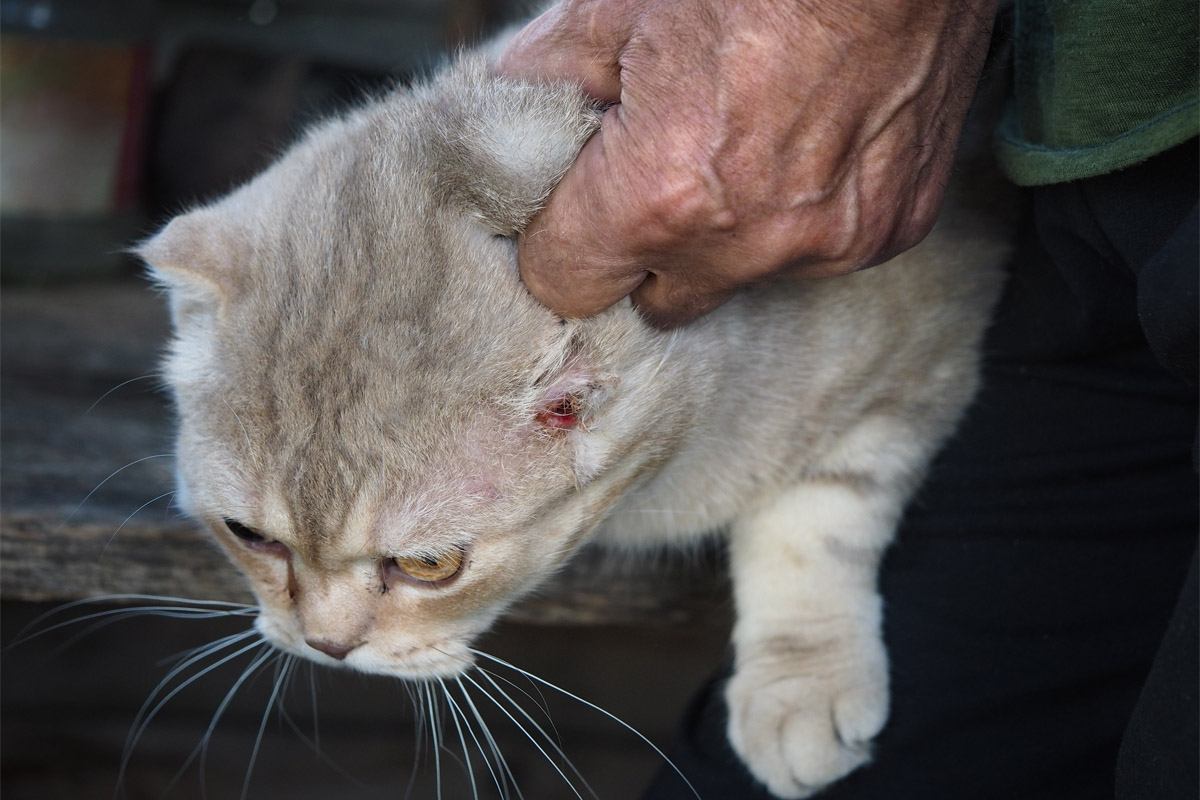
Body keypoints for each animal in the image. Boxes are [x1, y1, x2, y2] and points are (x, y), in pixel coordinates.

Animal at [136, 50, 1008, 800]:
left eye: (428, 567)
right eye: (252, 538)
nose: (327, 647)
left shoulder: (920, 349)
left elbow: (818, 517)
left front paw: (803, 681)